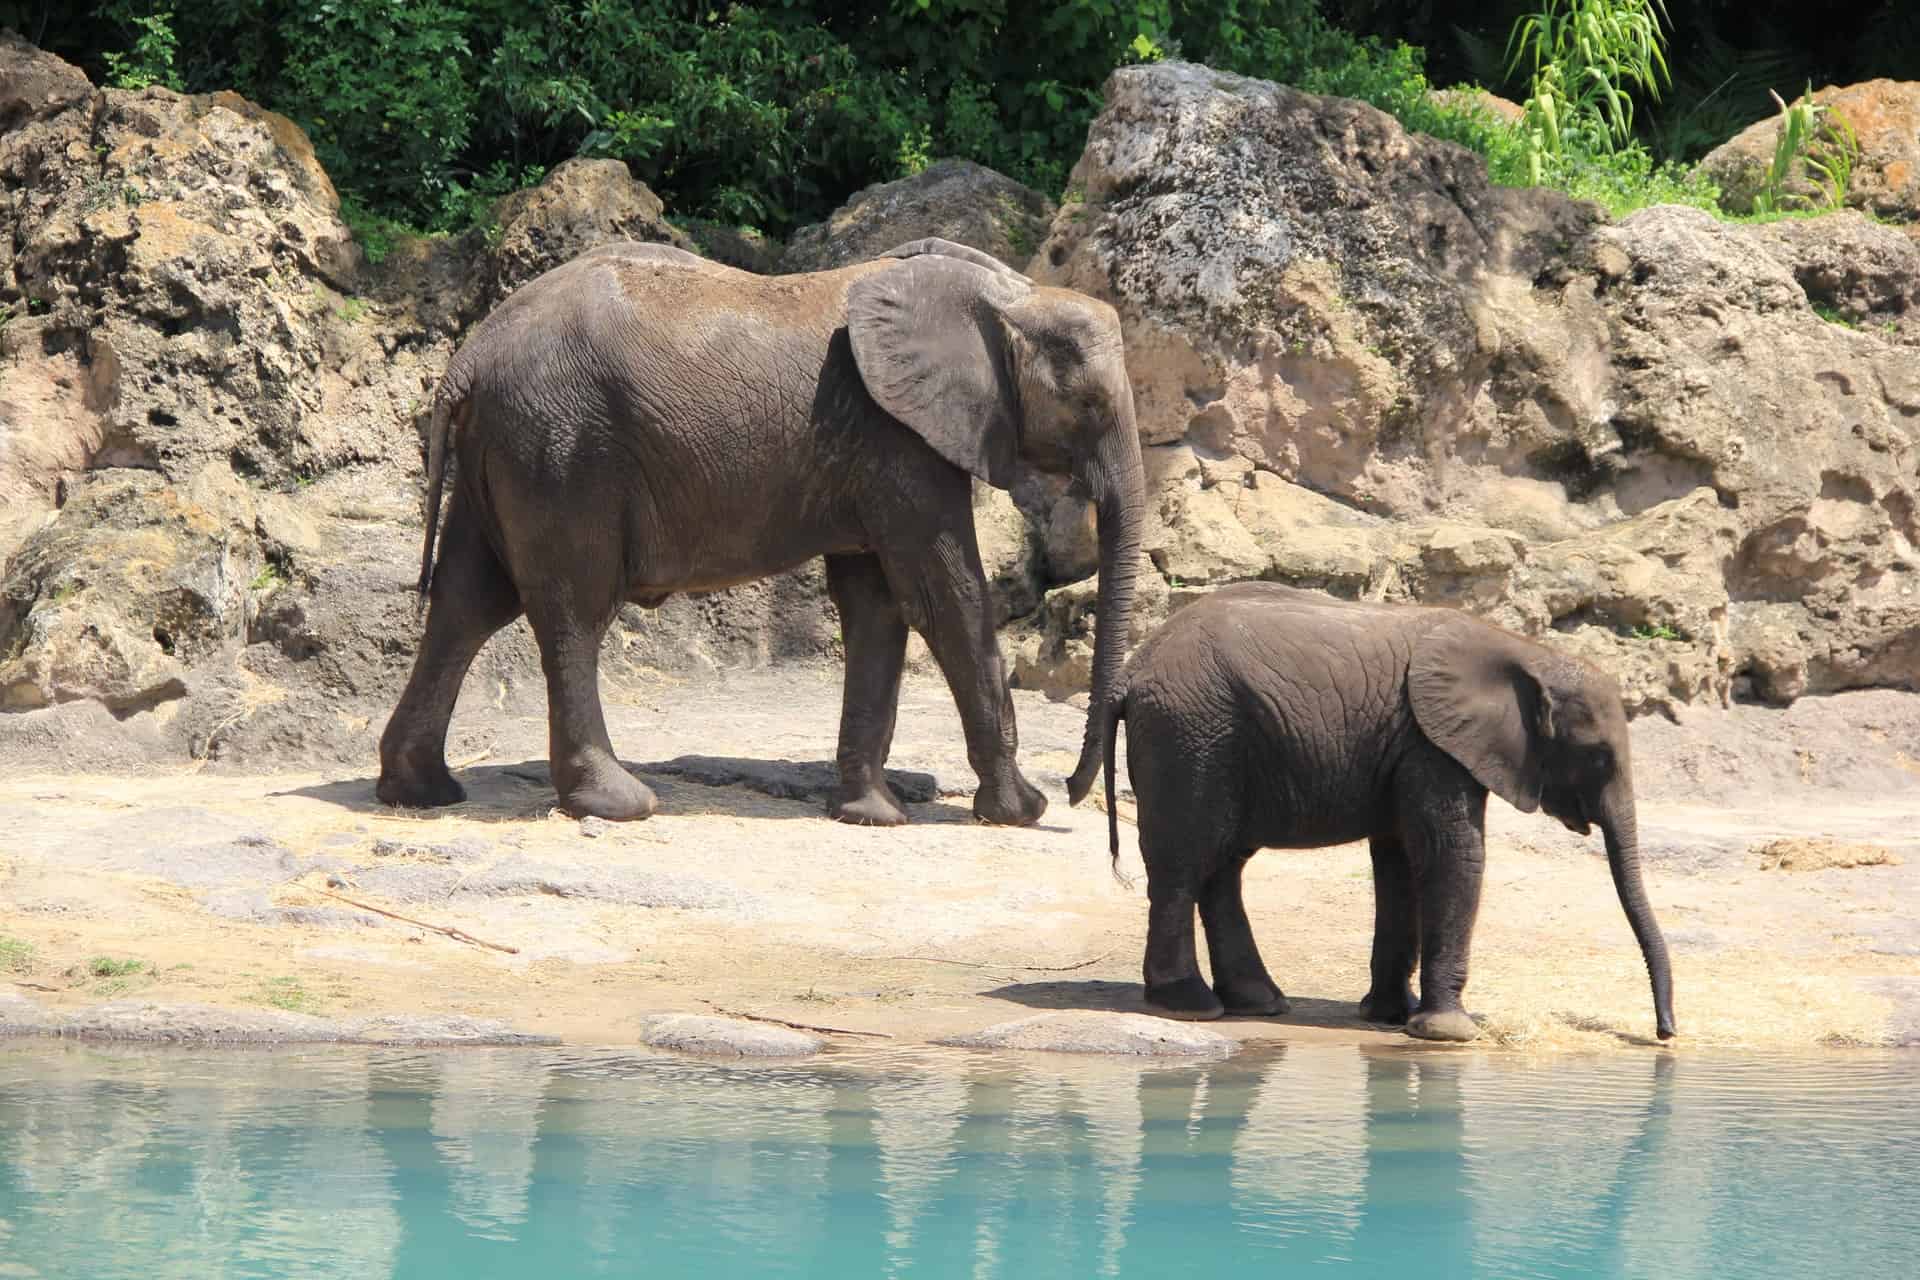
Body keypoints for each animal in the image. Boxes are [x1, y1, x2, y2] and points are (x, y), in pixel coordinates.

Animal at [376, 237, 1146, 826]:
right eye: (1087, 404)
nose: (1075, 792)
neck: (1010, 294)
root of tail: (465, 363)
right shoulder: (900, 441)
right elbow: (943, 598)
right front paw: (1020, 812)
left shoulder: (874, 452)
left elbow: (876, 605)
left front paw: (871, 815)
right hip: (560, 451)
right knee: (571, 612)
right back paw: (619, 804)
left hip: (508, 449)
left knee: (467, 604)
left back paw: (422, 793)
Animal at [1080, 582, 1676, 1043]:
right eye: (1599, 757)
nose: (1665, 1033)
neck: (1526, 652)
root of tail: (1132, 670)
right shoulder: (1434, 745)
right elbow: (1450, 854)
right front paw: (1446, 1033)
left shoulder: (1410, 747)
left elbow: (1399, 862)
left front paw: (1389, 1017)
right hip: (1191, 734)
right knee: (1184, 863)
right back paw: (1190, 1006)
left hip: (1219, 739)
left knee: (1221, 865)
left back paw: (1258, 1003)